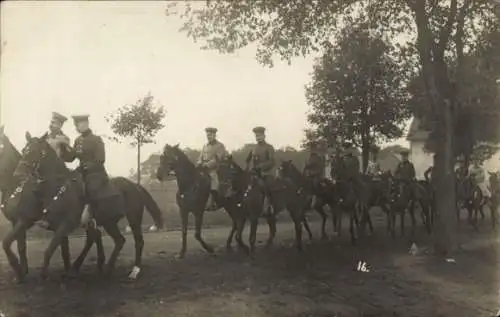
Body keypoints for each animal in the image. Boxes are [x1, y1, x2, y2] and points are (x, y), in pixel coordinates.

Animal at [3, 132, 164, 280]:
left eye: (37, 151)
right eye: (24, 150)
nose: (18, 173)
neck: (55, 189)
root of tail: (134, 185)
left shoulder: (65, 225)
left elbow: (49, 249)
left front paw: (42, 274)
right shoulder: (29, 221)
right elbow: (8, 242)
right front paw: (21, 271)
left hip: (133, 219)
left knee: (137, 241)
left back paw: (134, 270)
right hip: (108, 221)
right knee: (118, 240)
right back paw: (105, 268)